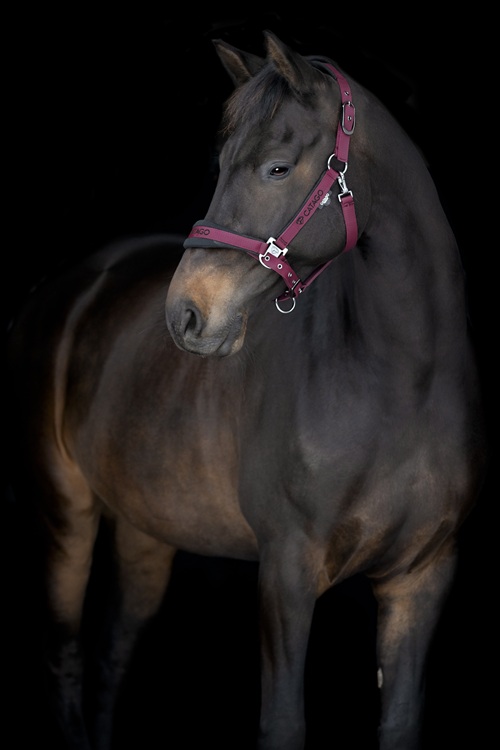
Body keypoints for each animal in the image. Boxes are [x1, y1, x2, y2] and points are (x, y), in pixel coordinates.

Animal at [7, 30, 487, 750]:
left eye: (278, 168)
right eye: (222, 163)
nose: (186, 315)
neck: (402, 386)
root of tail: (66, 289)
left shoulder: (421, 579)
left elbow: (400, 722)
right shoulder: (286, 573)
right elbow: (282, 723)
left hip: (148, 529)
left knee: (112, 655)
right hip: (66, 516)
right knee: (63, 656)